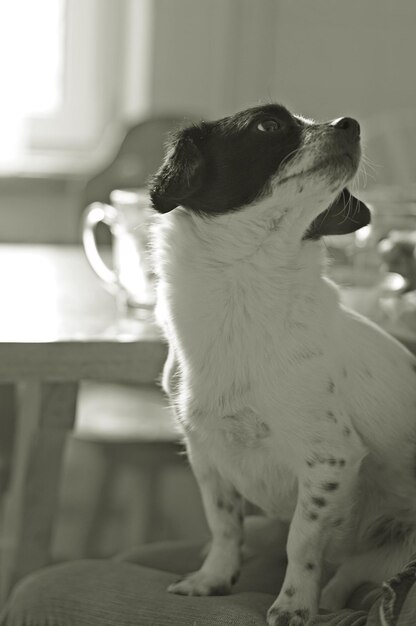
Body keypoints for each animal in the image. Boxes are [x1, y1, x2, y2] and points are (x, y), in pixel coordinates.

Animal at [148, 105, 416, 620]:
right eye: (268, 125)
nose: (350, 123)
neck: (244, 290)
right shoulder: (206, 455)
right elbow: (223, 524)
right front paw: (213, 578)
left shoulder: (330, 459)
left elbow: (302, 541)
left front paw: (294, 604)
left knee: (353, 574)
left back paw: (326, 600)